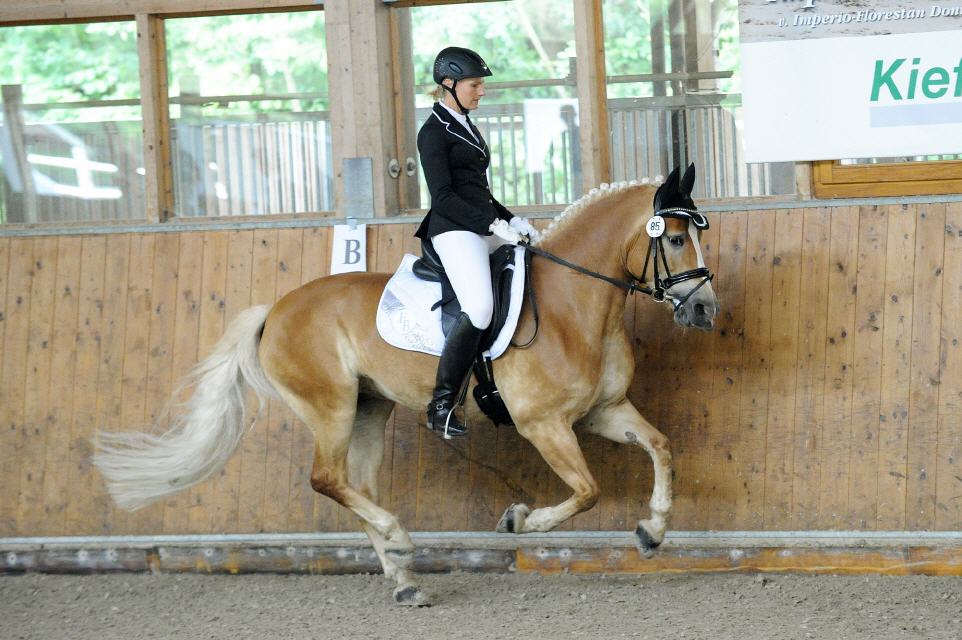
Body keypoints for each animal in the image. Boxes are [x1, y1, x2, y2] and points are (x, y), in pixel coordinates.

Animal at [94, 165, 716, 604]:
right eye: (676, 239)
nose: (705, 310)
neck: (571, 305)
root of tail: (276, 309)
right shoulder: (544, 424)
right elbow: (588, 491)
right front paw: (520, 520)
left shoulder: (602, 411)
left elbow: (661, 447)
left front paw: (653, 532)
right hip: (332, 406)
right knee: (326, 479)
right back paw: (400, 542)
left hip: (369, 408)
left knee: (357, 486)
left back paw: (403, 577)